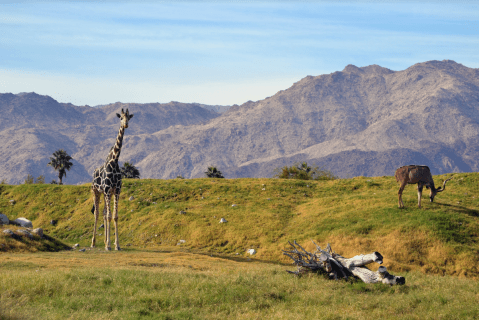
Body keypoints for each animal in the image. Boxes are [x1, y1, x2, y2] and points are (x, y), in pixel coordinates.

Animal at [91, 108, 133, 250]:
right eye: (121, 118)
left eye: (129, 117)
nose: (126, 124)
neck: (114, 161)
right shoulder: (108, 189)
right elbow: (109, 216)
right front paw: (109, 245)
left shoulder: (116, 190)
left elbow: (114, 216)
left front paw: (116, 245)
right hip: (96, 191)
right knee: (97, 213)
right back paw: (93, 242)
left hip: (105, 193)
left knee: (104, 213)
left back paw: (104, 241)